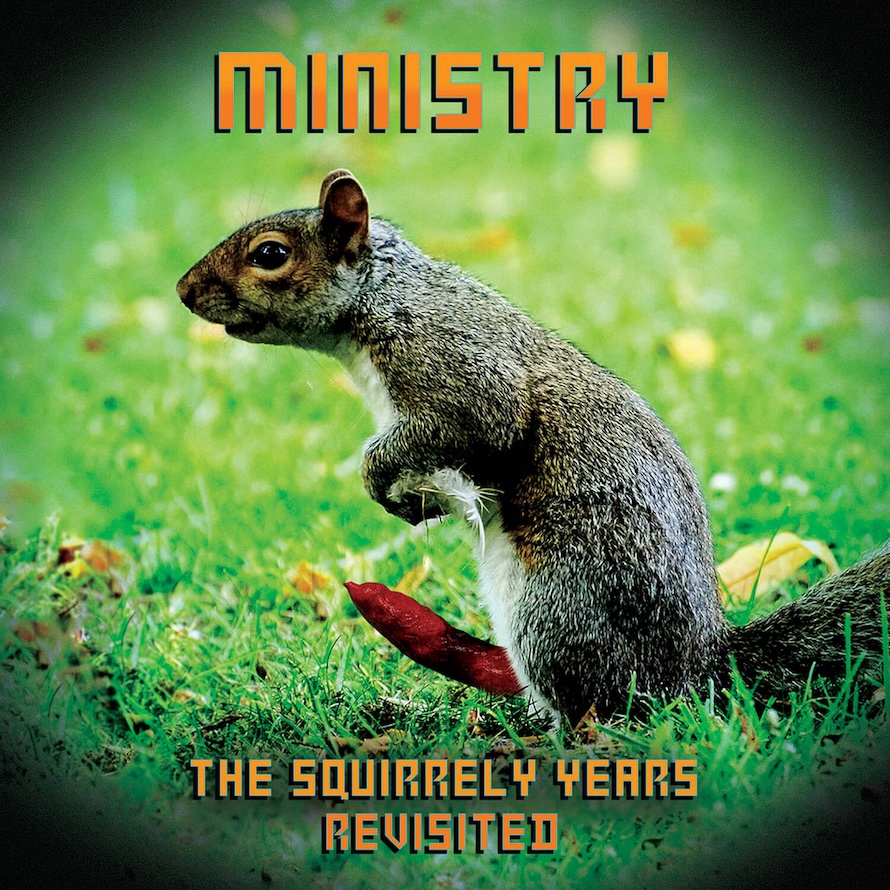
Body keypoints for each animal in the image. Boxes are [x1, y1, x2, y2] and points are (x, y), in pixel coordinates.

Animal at [177, 169, 889, 726]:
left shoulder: (452, 366)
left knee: (610, 707)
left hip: (554, 612)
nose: (184, 291)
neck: (381, 297)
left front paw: (378, 476)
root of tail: (701, 667)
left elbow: (476, 424)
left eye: (270, 254)